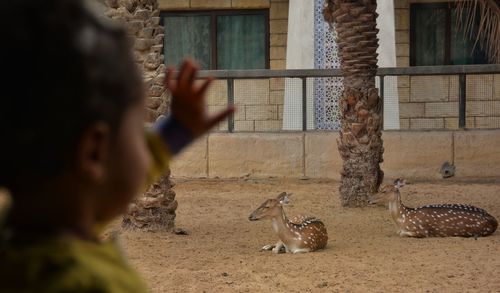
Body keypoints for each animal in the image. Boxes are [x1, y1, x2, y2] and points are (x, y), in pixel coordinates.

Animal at [370, 178, 498, 237]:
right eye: (380, 188)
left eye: (384, 191)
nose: (370, 199)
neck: (403, 218)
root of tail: (495, 221)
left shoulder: (421, 231)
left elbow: (402, 234)